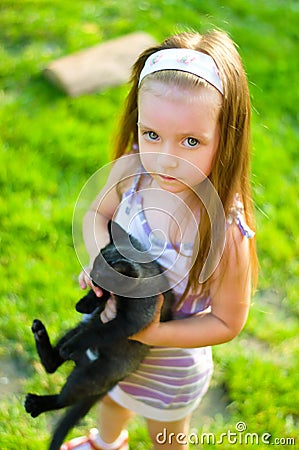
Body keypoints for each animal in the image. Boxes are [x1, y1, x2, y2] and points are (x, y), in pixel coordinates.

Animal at [25, 221, 173, 450]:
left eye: (99, 278)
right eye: (92, 274)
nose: (91, 279)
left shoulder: (128, 322)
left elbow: (99, 332)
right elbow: (99, 301)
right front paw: (85, 303)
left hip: (89, 376)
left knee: (63, 399)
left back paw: (38, 402)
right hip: (74, 330)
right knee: (52, 364)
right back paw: (41, 332)